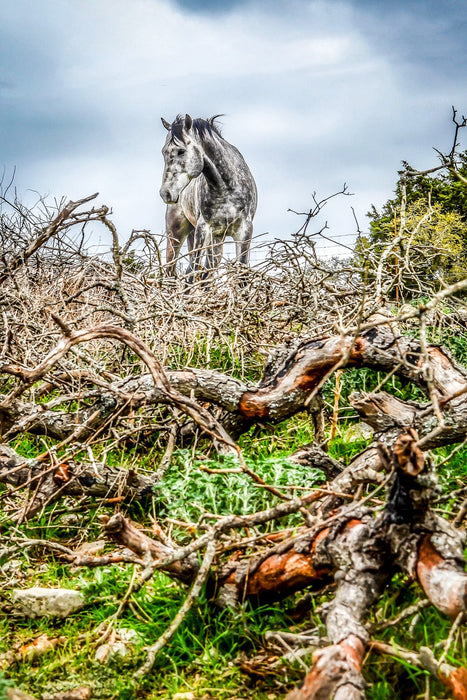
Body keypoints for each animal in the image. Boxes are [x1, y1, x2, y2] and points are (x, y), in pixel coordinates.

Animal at [159, 114, 257, 279]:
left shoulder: (244, 231)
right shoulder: (203, 229)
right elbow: (192, 272)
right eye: (163, 152)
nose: (165, 193)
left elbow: (242, 275)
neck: (226, 187)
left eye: (181, 151)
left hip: (216, 240)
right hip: (176, 233)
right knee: (172, 271)